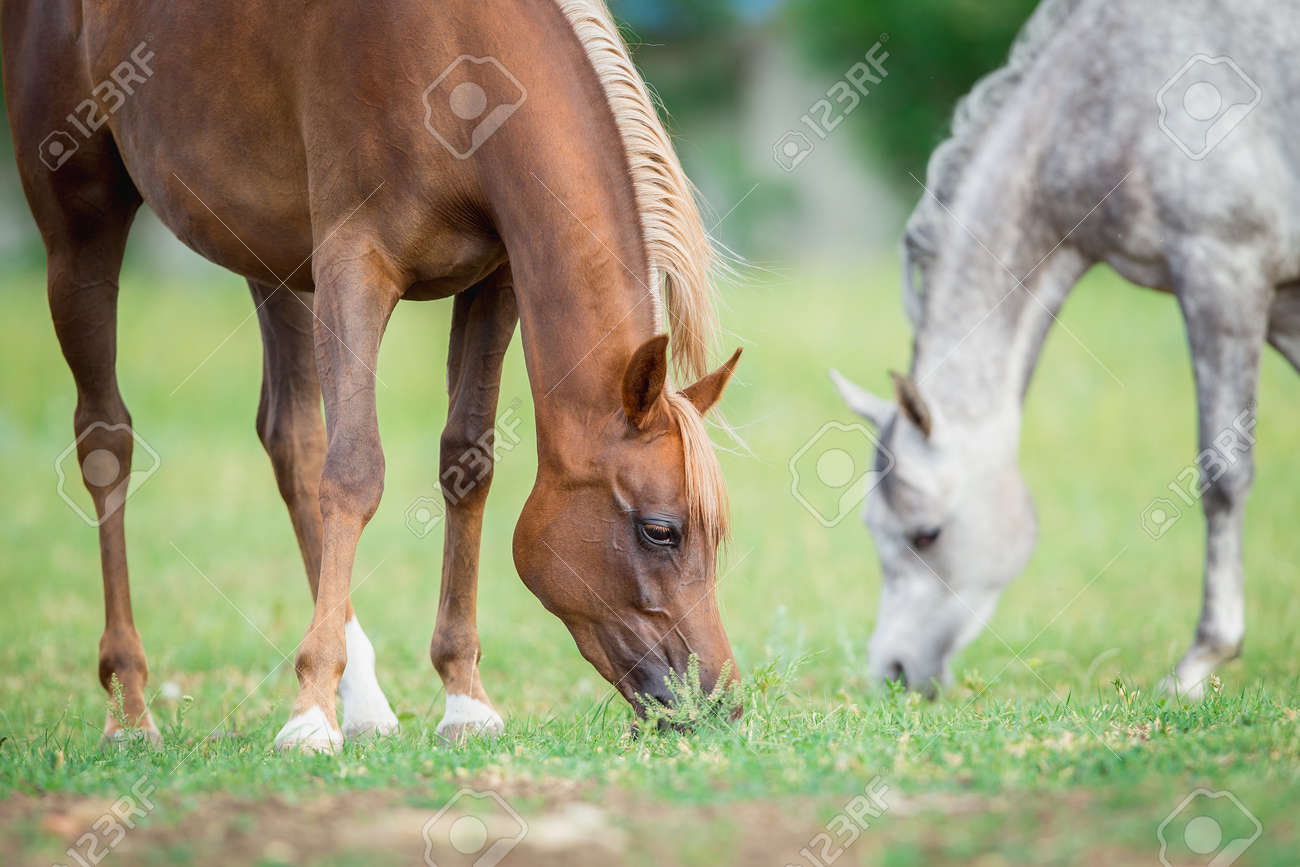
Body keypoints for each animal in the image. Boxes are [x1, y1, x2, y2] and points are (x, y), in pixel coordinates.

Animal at [5, 0, 743, 751]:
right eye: (660, 530)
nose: (719, 703)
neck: (460, 64)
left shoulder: (497, 279)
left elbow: (466, 463)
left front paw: (463, 698)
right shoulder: (353, 266)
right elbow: (355, 472)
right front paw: (308, 715)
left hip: (270, 253)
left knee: (291, 438)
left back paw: (360, 699)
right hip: (79, 228)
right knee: (106, 441)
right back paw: (131, 706)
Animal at [831, 0, 1299, 698]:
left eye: (927, 534)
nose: (892, 671)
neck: (1102, 97)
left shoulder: (1224, 269)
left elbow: (1224, 473)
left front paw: (1199, 662)